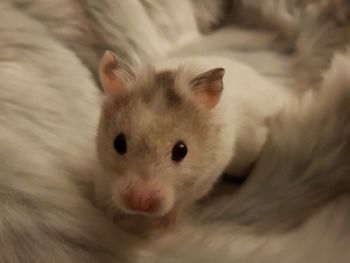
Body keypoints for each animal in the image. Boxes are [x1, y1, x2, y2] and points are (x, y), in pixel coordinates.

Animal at [94, 51, 288, 235]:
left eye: (182, 151)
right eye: (118, 143)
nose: (139, 203)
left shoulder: (205, 180)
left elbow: (180, 204)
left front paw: (161, 229)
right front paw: (108, 214)